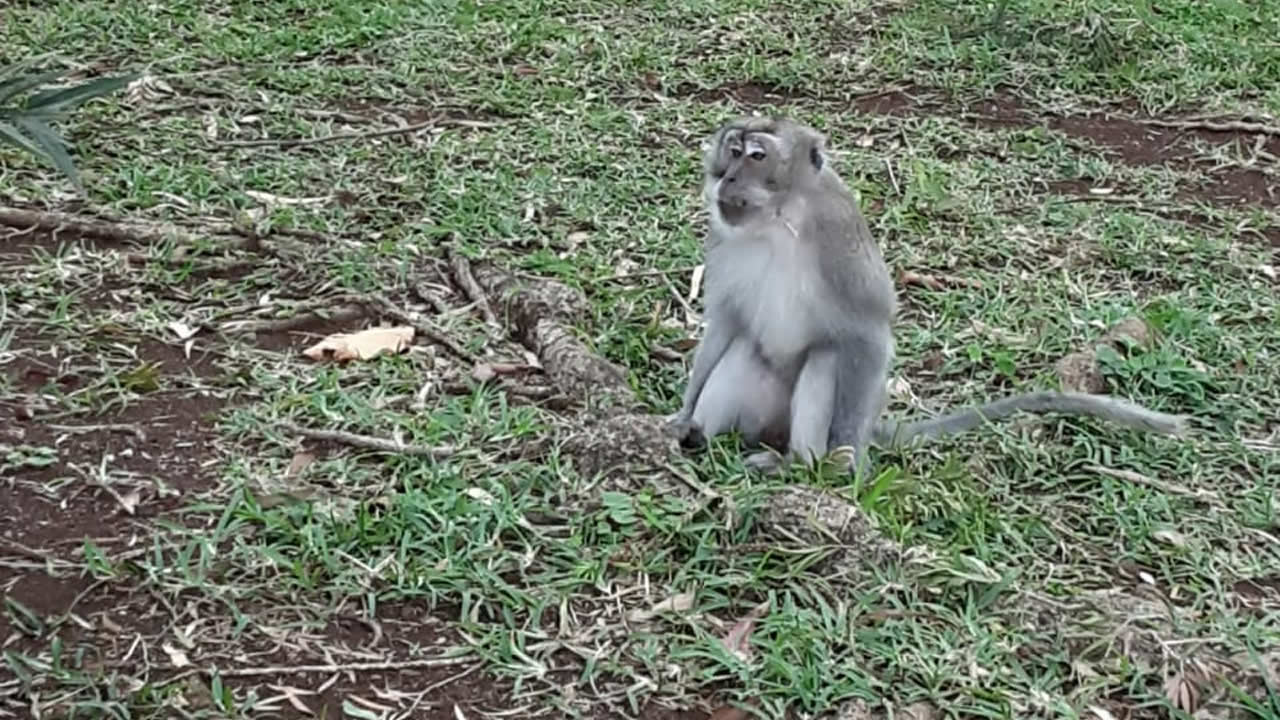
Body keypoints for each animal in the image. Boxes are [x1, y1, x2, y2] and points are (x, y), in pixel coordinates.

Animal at [670, 114, 1187, 474]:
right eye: (732, 149)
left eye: (757, 156)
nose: (725, 176)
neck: (778, 219)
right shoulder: (723, 240)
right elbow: (727, 323)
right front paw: (683, 414)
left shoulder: (837, 240)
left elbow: (867, 334)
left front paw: (844, 460)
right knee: (746, 347)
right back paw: (698, 436)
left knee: (827, 358)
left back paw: (799, 463)